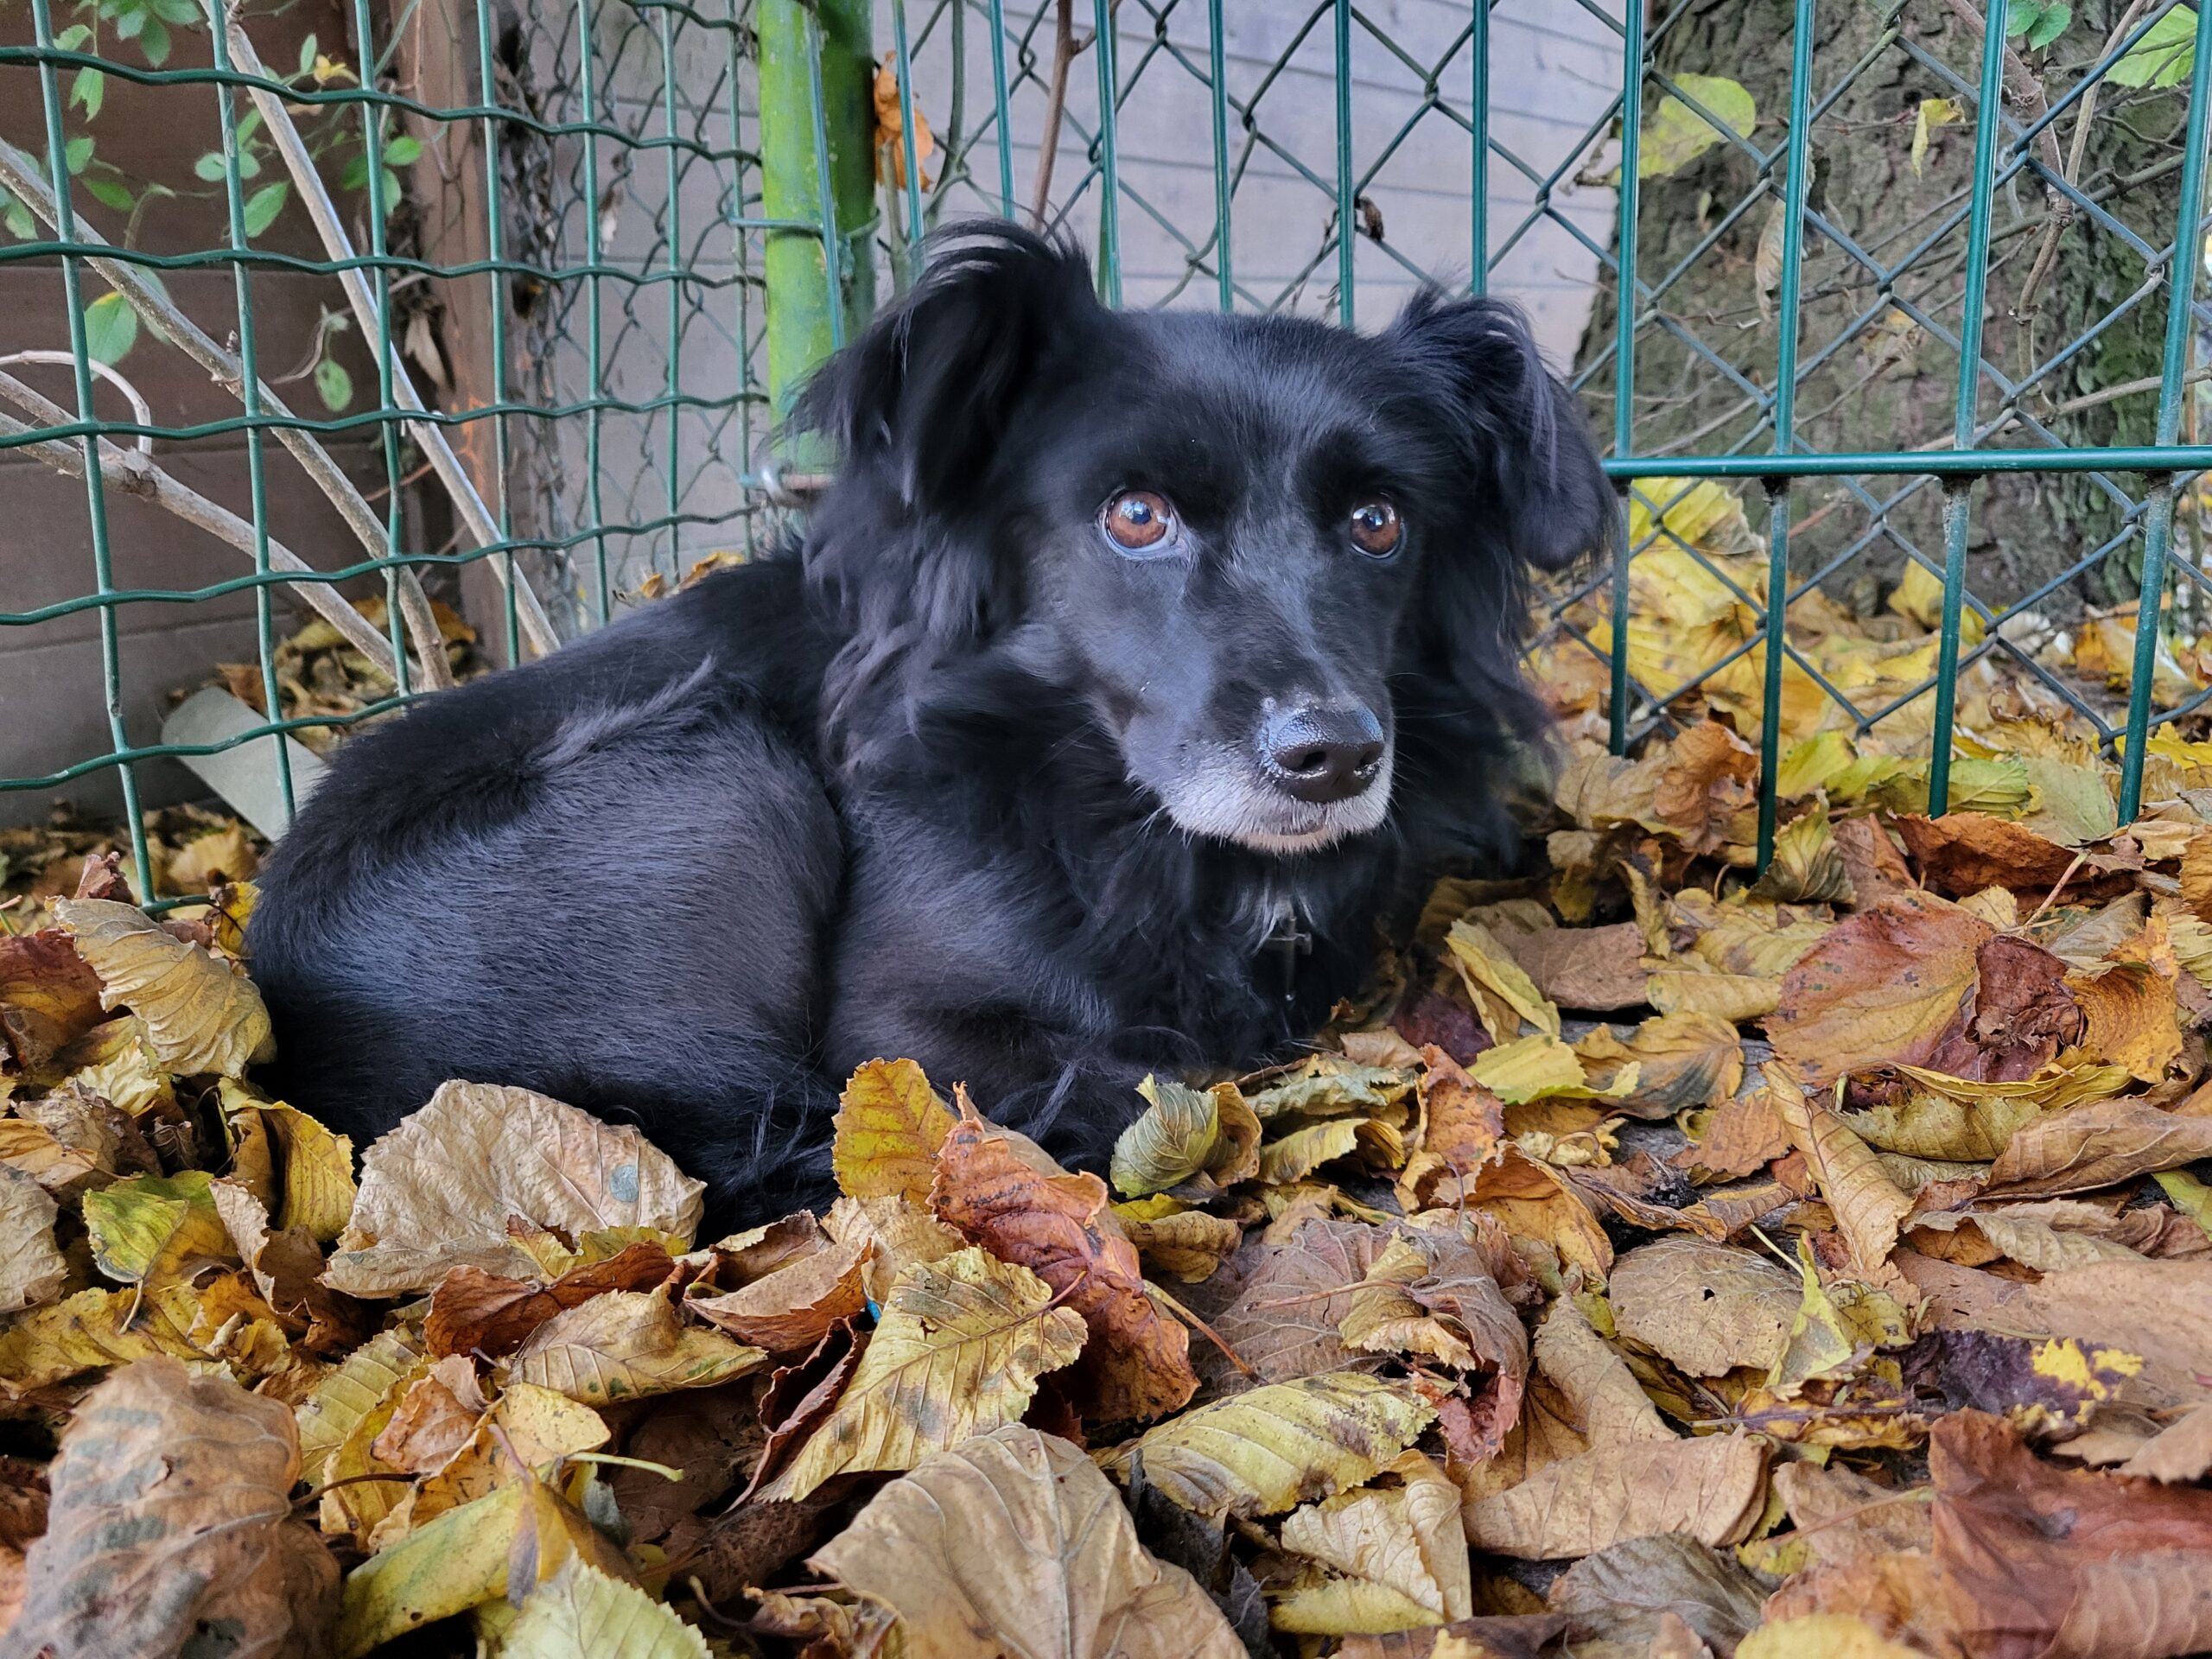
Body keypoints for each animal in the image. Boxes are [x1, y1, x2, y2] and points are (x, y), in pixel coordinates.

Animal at [251, 227, 1610, 1230]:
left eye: (1380, 523)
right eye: (1134, 515)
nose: (1331, 759)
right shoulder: (901, 1034)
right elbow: (1150, 1074)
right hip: (722, 777)